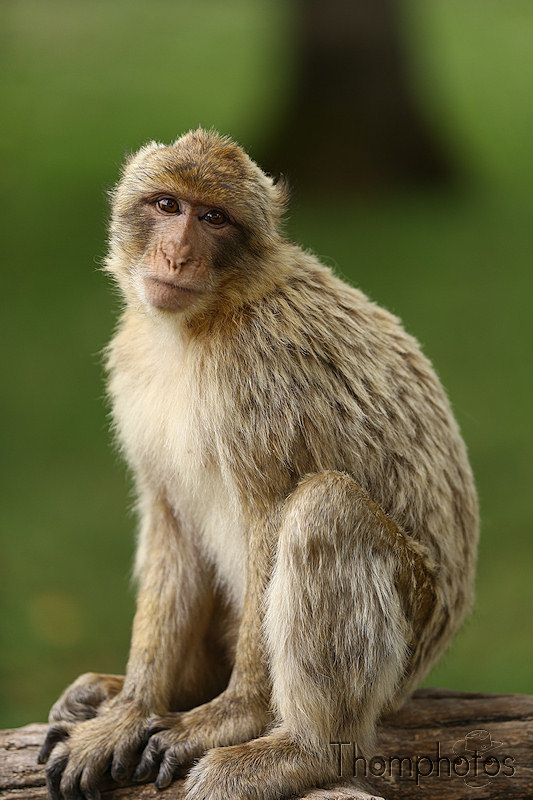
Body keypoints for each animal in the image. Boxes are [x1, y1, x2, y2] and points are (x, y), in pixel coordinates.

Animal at [38, 128, 478, 796]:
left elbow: (270, 519)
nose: (175, 256)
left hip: (408, 640)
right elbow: (172, 521)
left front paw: (234, 714)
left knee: (326, 507)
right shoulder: (132, 361)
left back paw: (309, 751)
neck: (200, 324)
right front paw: (132, 709)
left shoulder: (260, 372)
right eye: (167, 205)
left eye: (213, 219)